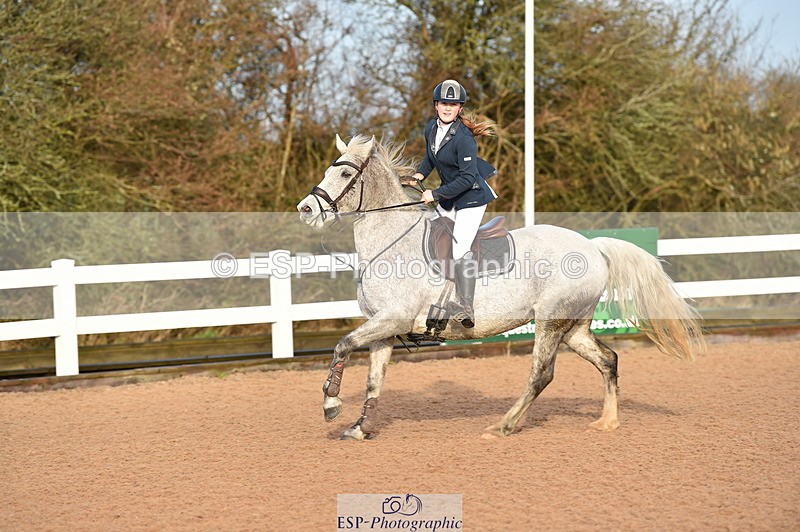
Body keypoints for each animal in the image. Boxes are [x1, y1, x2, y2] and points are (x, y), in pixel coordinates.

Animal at [296, 134, 704, 440]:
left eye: (344, 172)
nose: (306, 209)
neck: (392, 242)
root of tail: (593, 247)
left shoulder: (392, 319)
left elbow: (342, 345)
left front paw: (331, 405)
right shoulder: (384, 328)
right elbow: (373, 381)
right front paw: (359, 428)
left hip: (550, 321)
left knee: (542, 374)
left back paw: (504, 425)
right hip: (573, 327)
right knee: (608, 360)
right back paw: (608, 421)